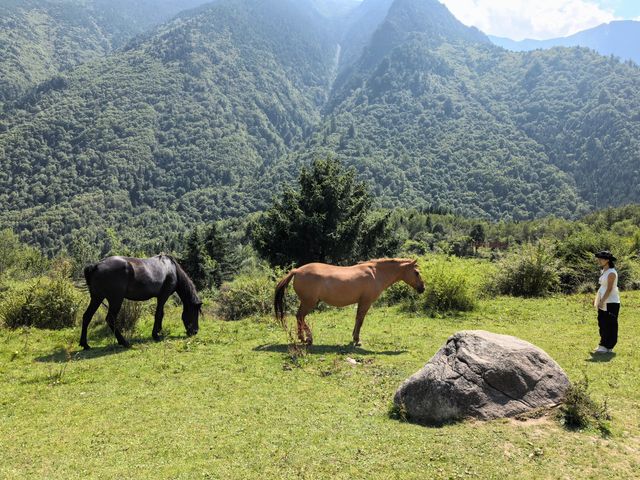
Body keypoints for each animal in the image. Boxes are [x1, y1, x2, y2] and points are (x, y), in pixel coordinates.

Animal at [274, 258, 424, 344]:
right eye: (416, 272)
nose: (422, 288)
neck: (376, 273)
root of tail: (297, 270)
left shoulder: (361, 302)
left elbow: (357, 319)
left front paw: (354, 337)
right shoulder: (365, 302)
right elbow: (360, 320)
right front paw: (357, 340)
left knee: (299, 317)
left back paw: (302, 337)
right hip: (308, 302)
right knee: (300, 316)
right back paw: (308, 338)